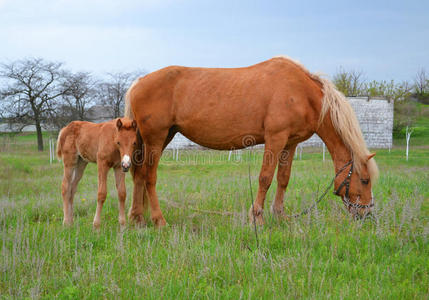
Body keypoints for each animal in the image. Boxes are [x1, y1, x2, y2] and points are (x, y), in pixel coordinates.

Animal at [124, 55, 378, 227]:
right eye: (365, 180)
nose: (366, 214)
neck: (301, 92)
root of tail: (138, 82)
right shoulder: (275, 138)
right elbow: (265, 178)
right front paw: (257, 218)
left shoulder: (290, 143)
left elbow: (283, 179)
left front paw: (280, 216)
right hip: (156, 139)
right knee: (149, 177)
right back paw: (159, 220)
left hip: (161, 137)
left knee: (139, 175)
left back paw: (137, 218)